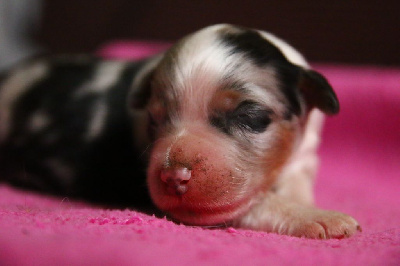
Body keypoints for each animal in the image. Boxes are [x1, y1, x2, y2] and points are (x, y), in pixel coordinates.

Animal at [0, 23, 360, 238]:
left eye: (251, 116)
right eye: (154, 119)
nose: (174, 177)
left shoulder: (302, 158)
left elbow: (296, 184)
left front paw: (306, 203)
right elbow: (256, 204)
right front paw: (320, 218)